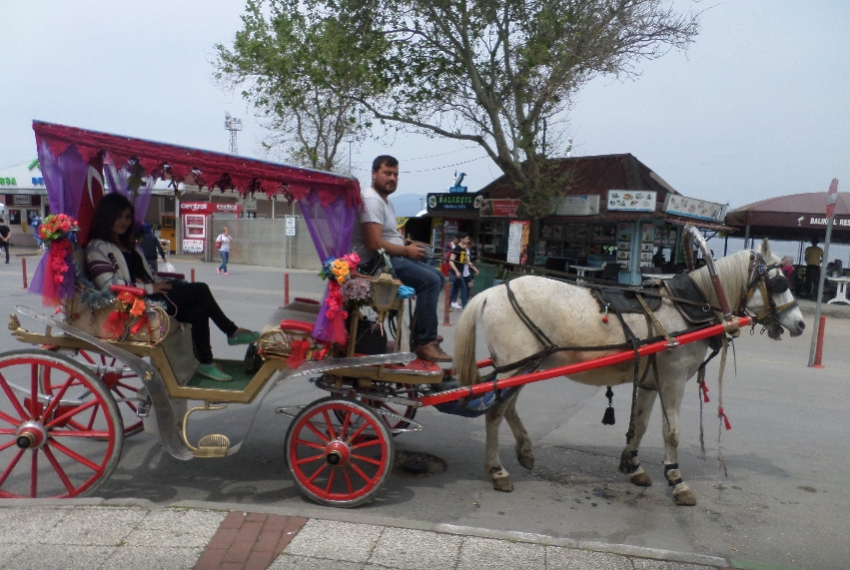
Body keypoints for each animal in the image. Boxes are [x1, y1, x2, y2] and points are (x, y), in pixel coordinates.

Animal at [450, 237, 800, 504]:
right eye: (779, 282)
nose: (800, 324)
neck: (686, 309)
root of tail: (492, 292)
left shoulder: (649, 381)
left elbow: (641, 425)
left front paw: (635, 467)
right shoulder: (672, 380)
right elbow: (671, 431)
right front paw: (676, 480)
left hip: (526, 365)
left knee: (508, 407)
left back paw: (524, 450)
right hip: (518, 365)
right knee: (495, 412)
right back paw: (497, 470)